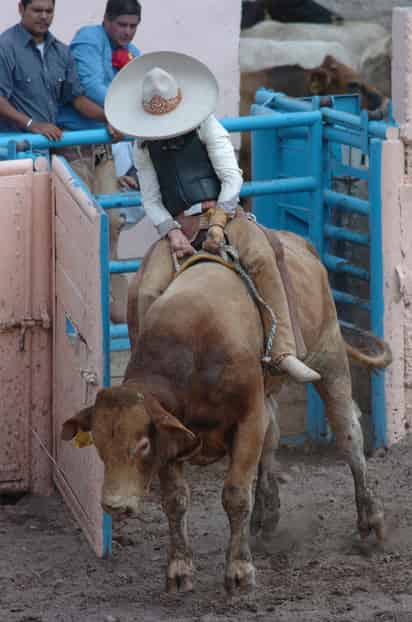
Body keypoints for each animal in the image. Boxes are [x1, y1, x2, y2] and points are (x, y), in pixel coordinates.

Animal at [62, 228, 392, 596]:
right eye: (99, 444)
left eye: (142, 445)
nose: (114, 505)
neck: (194, 349)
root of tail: (299, 242)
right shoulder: (174, 432)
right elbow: (175, 500)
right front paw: (179, 569)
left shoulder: (248, 418)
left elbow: (235, 494)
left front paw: (239, 570)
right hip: (273, 391)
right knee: (272, 442)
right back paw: (266, 513)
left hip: (329, 353)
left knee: (348, 434)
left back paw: (370, 518)